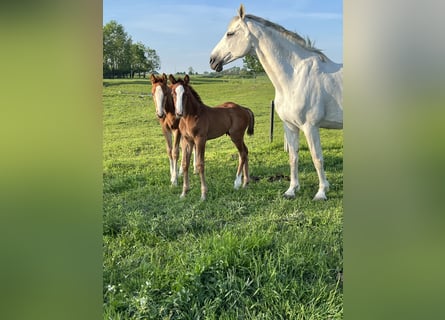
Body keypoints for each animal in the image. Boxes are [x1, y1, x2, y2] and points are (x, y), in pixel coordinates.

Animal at [210, 4, 342, 200]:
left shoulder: (310, 126)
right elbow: (293, 157)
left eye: (230, 33)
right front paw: (291, 190)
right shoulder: (291, 126)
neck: (295, 76)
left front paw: (321, 192)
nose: (212, 60)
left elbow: (317, 158)